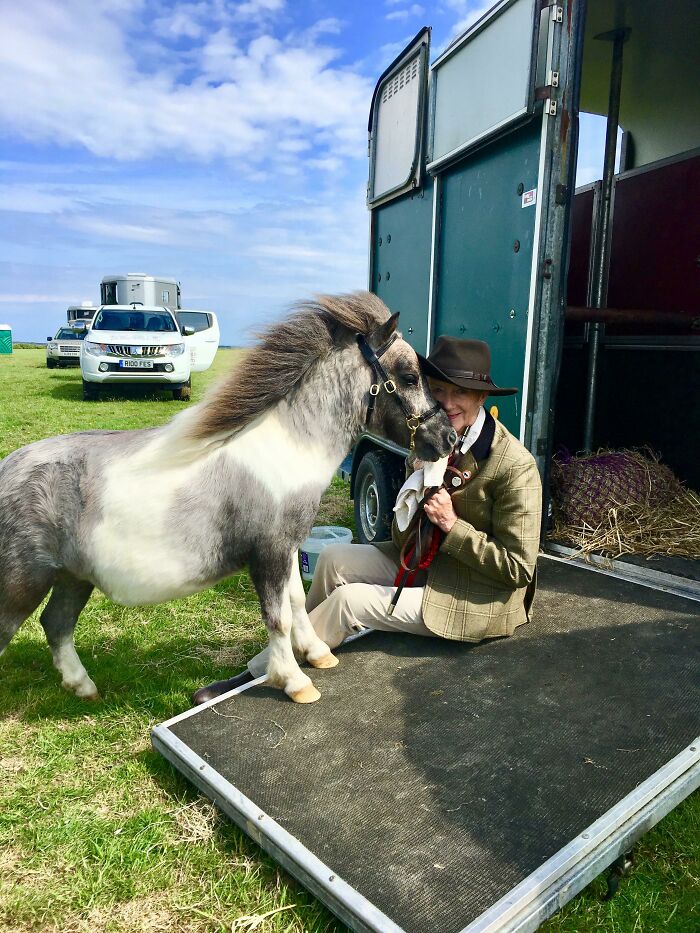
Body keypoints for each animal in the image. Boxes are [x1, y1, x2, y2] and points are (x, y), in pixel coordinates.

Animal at [0, 292, 455, 703]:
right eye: (409, 376)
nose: (448, 438)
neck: (286, 449)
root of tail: (8, 470)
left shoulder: (286, 549)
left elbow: (295, 602)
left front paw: (318, 655)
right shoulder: (268, 554)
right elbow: (277, 617)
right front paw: (294, 682)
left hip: (72, 577)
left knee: (56, 624)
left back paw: (84, 688)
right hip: (22, 584)